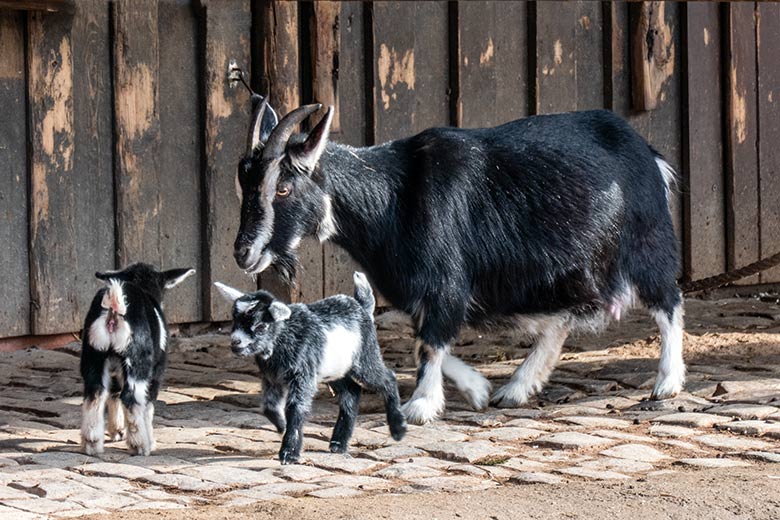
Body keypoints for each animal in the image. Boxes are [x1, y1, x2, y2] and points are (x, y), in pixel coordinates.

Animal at [233, 102, 684, 426]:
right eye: (244, 183)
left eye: (284, 187)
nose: (244, 253)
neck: (392, 196)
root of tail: (649, 154)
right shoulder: (414, 288)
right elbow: (423, 336)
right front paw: (477, 388)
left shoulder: (444, 280)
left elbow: (431, 340)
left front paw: (420, 406)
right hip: (567, 270)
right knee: (564, 319)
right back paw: (516, 388)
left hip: (645, 243)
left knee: (668, 302)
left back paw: (666, 383)